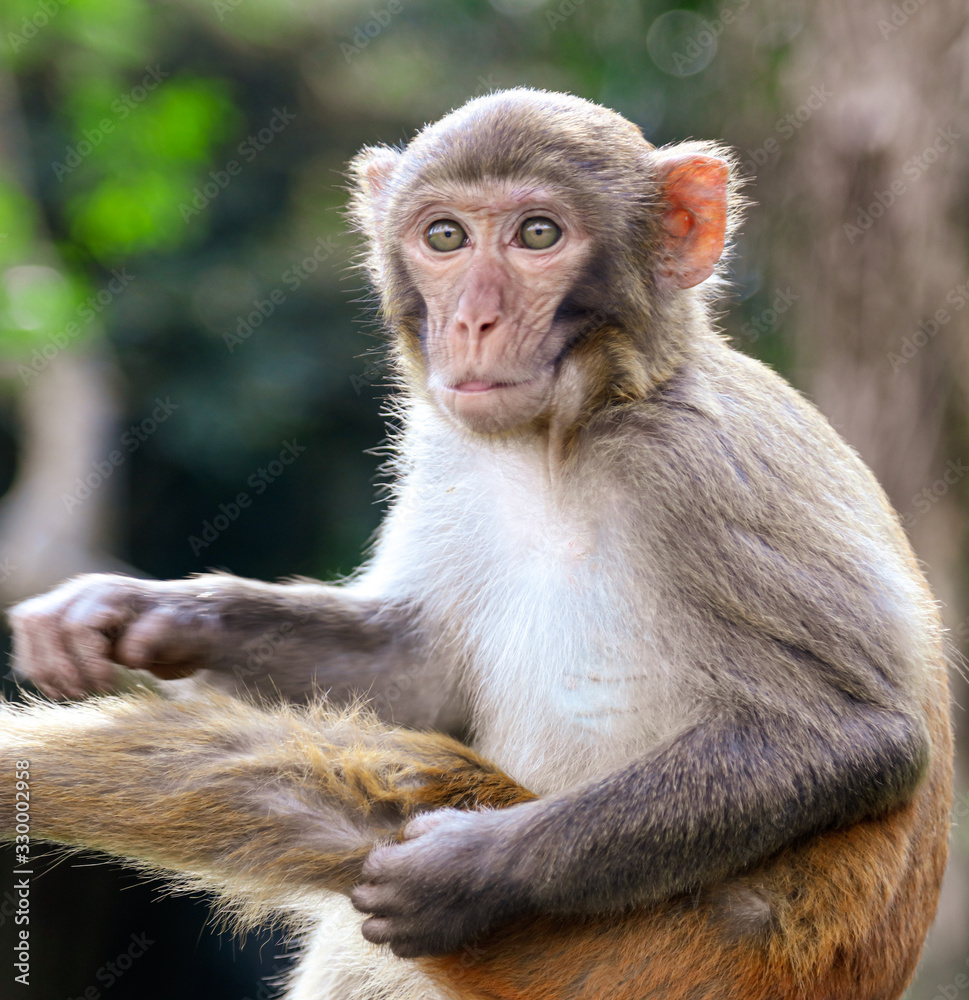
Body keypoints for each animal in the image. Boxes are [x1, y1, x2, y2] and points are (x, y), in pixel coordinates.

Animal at [0, 88, 952, 1000]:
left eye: (537, 234)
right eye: (444, 237)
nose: (472, 323)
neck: (562, 437)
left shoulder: (698, 468)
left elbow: (856, 738)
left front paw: (470, 872)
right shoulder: (449, 452)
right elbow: (417, 674)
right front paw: (146, 616)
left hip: (640, 957)